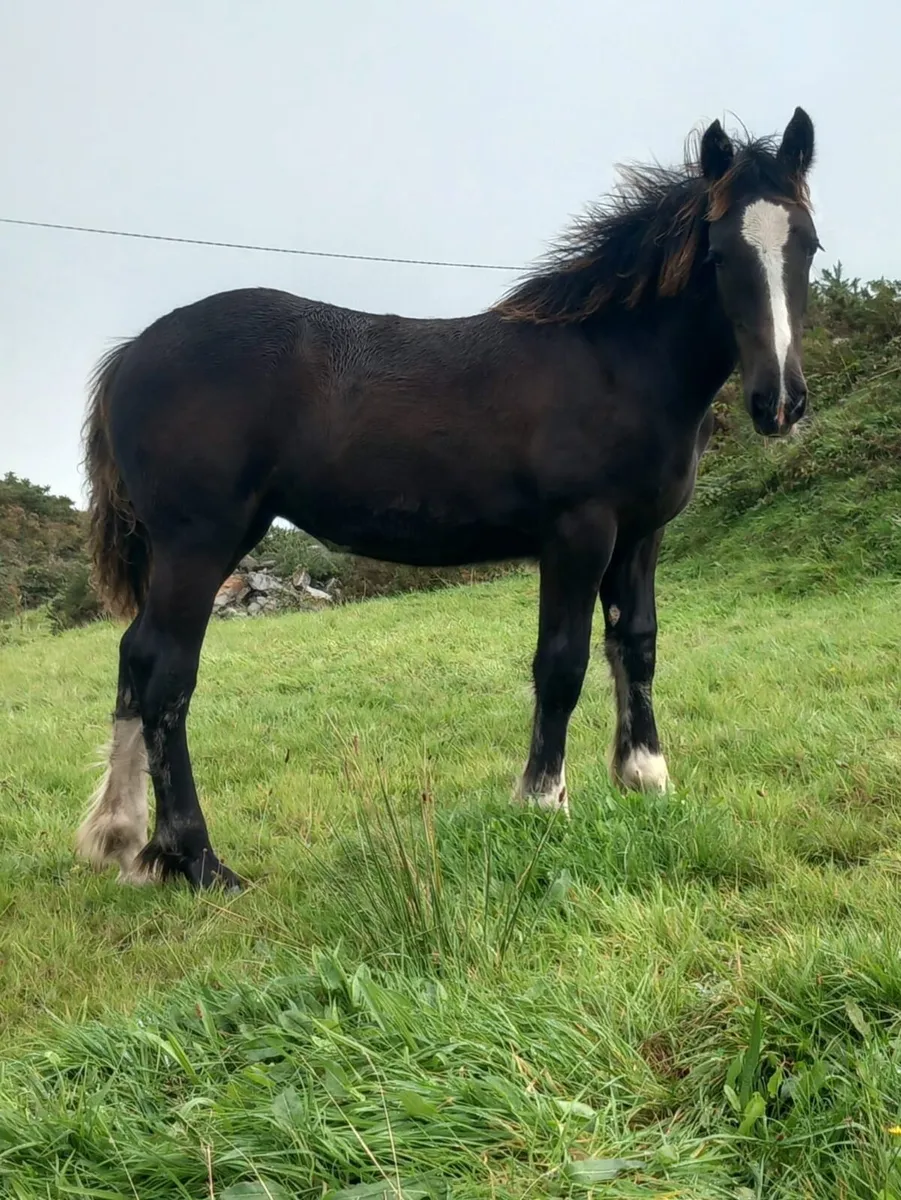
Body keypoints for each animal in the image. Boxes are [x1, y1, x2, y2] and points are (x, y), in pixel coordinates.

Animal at [75, 108, 819, 890]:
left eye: (806, 244)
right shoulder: (577, 533)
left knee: (134, 658)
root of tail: (132, 354)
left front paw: (645, 779)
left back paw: (120, 838)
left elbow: (636, 644)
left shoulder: (642, 535)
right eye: (718, 255)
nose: (779, 403)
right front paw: (543, 801)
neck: (617, 363)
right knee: (166, 673)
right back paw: (195, 860)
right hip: (201, 541)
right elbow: (562, 662)